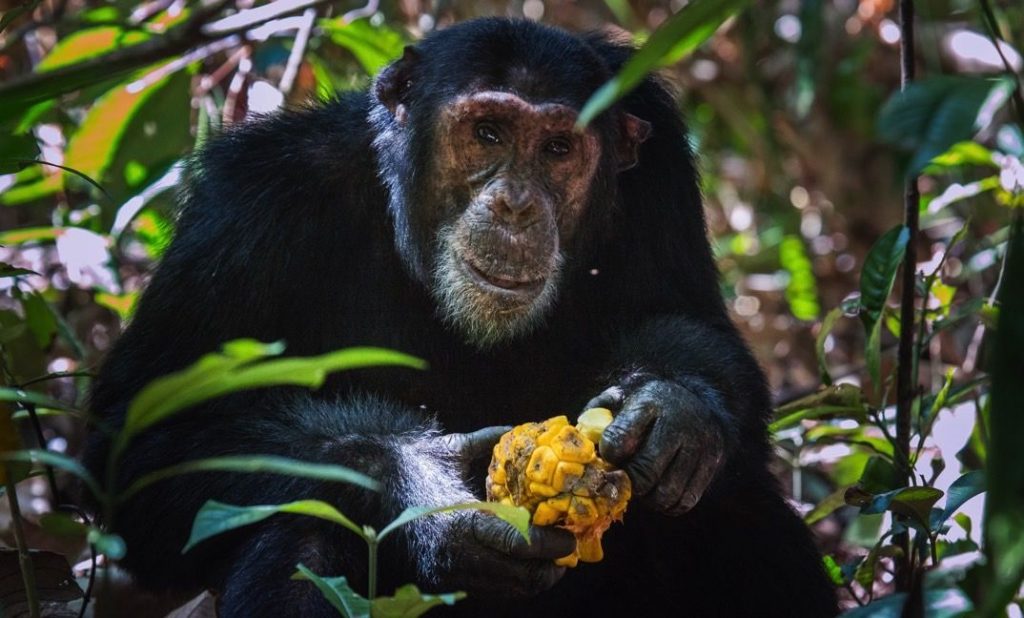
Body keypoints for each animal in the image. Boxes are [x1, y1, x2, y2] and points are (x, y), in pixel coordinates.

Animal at [83, 16, 839, 613]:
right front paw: (425, 492)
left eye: (557, 149)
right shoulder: (246, 206)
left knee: (737, 510)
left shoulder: (660, 164)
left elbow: (698, 329)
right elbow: (145, 445)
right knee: (304, 535)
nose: (516, 205)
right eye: (487, 132)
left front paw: (673, 406)